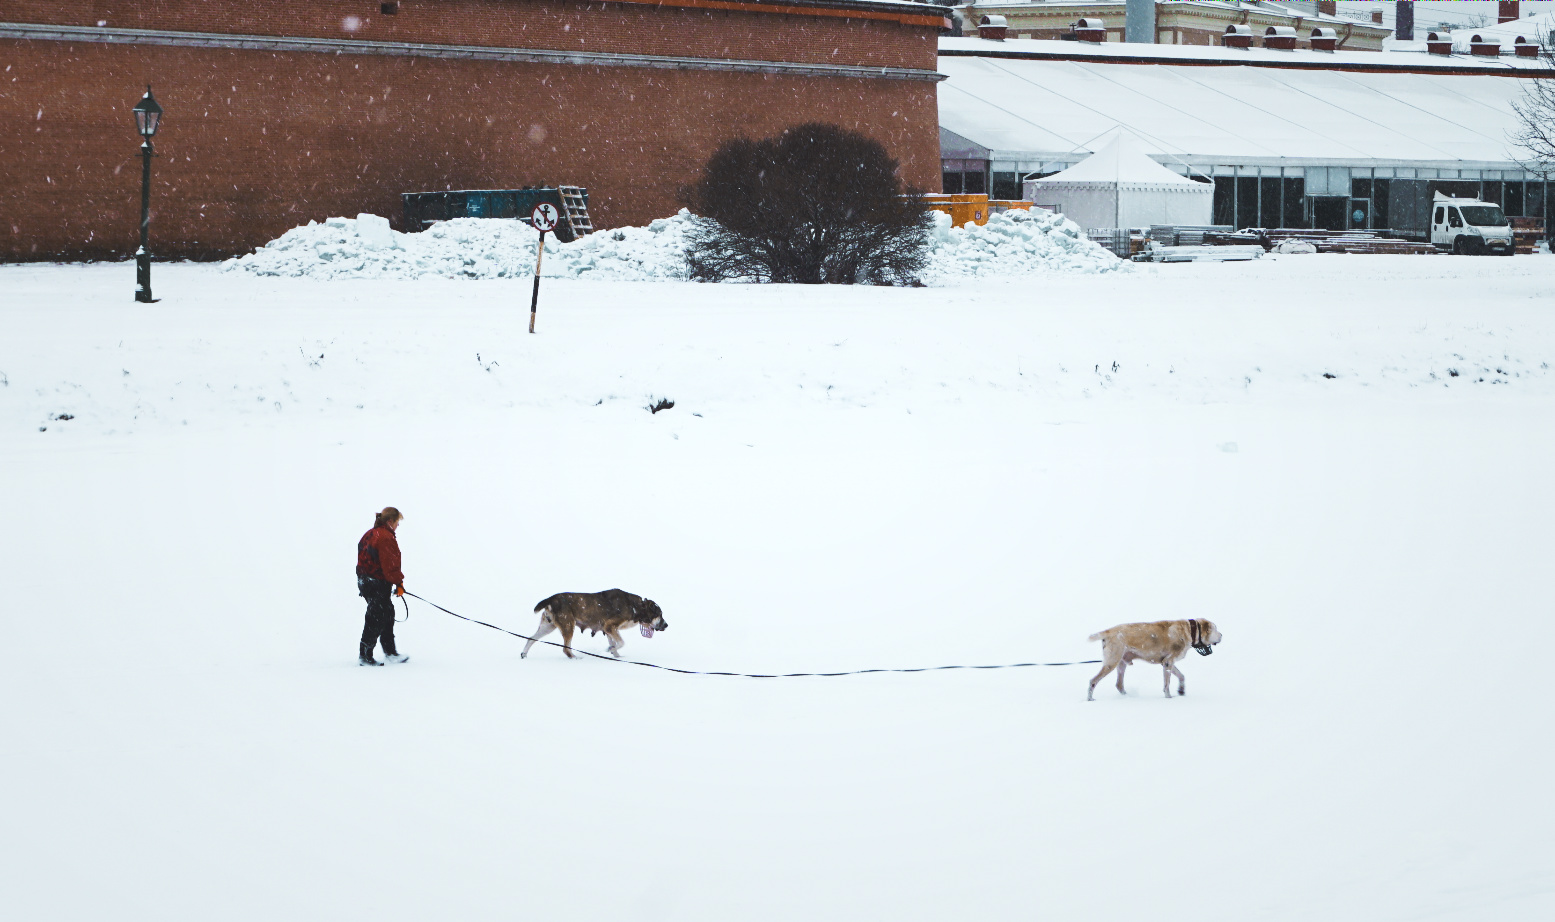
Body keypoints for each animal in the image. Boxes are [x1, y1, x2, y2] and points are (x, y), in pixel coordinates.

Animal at [522, 584, 668, 659]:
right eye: (660, 614)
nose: (666, 625)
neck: (637, 607)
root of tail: (551, 599)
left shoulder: (609, 630)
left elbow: (614, 644)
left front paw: (617, 656)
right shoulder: (610, 626)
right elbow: (621, 642)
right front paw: (611, 649)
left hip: (548, 626)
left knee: (531, 639)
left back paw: (524, 654)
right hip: (568, 625)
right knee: (566, 649)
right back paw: (575, 658)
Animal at [1088, 618, 1219, 696]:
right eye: (1216, 629)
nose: (1221, 635)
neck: (1190, 630)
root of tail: (1109, 631)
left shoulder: (1167, 663)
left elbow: (1181, 676)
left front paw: (1181, 690)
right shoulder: (1168, 663)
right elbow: (1167, 685)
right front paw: (1169, 697)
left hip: (1121, 663)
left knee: (1119, 685)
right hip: (1111, 662)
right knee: (1093, 681)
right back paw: (1090, 699)